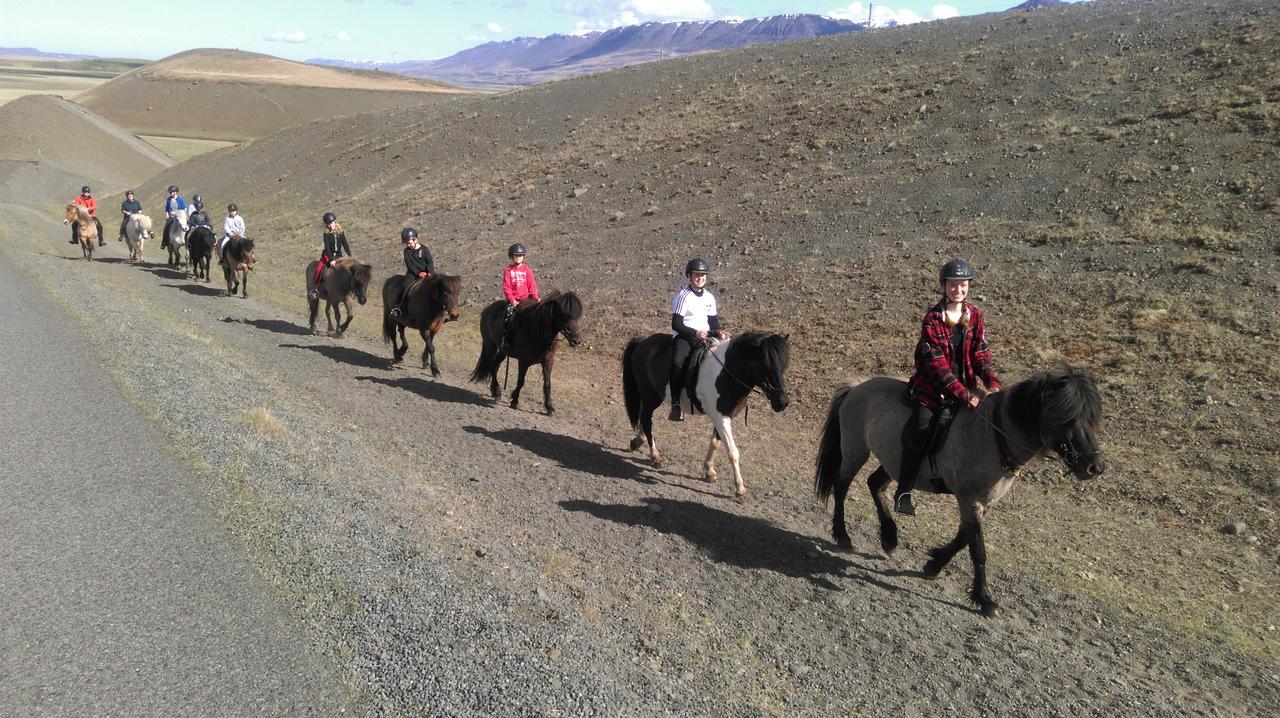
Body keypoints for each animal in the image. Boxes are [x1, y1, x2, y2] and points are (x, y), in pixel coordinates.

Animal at [622, 332, 788, 496]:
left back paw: (638, 441)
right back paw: (655, 456)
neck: (726, 374)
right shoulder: (721, 418)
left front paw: (709, 471)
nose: (783, 402)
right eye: (766, 366)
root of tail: (643, 342)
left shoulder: (723, 417)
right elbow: (732, 451)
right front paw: (740, 488)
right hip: (650, 395)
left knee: (645, 418)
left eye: (784, 366)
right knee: (646, 419)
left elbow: (715, 443)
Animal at [814, 363, 1105, 616]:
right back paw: (843, 536)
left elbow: (964, 537)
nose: (1095, 467)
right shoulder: (969, 499)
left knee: (875, 484)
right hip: (855, 449)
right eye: (1067, 417)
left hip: (893, 460)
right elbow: (978, 550)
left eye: (1092, 418)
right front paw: (984, 599)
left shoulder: (982, 503)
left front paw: (933, 564)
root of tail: (858, 387)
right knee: (842, 487)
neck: (994, 438)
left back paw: (889, 537)